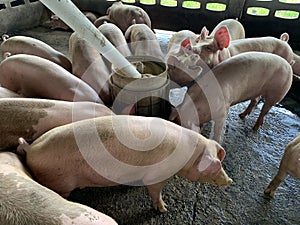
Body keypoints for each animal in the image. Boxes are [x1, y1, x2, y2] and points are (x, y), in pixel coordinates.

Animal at [17, 115, 233, 212]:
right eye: (215, 167)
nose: (230, 181)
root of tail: (32, 148)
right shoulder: (157, 176)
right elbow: (155, 191)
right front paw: (163, 209)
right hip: (59, 181)